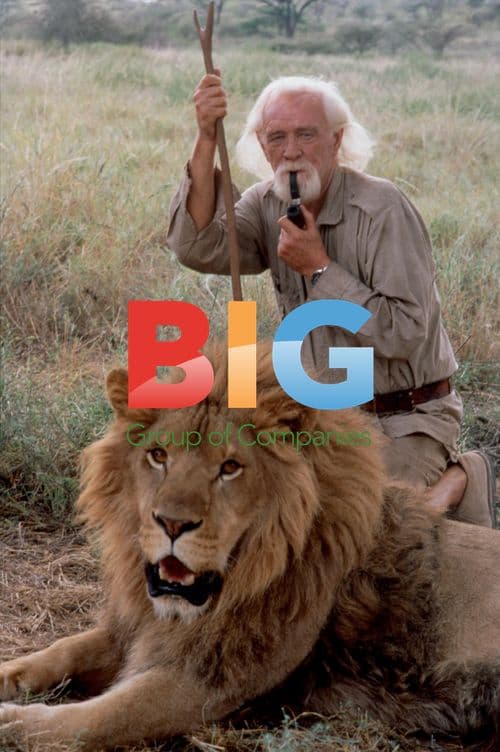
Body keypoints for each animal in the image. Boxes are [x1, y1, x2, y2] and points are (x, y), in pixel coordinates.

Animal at [1, 344, 499, 751]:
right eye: (158, 456)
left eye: (230, 468)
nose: (172, 523)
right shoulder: (143, 629)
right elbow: (62, 650)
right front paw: (8, 674)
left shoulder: (208, 681)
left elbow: (102, 718)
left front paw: (13, 725)